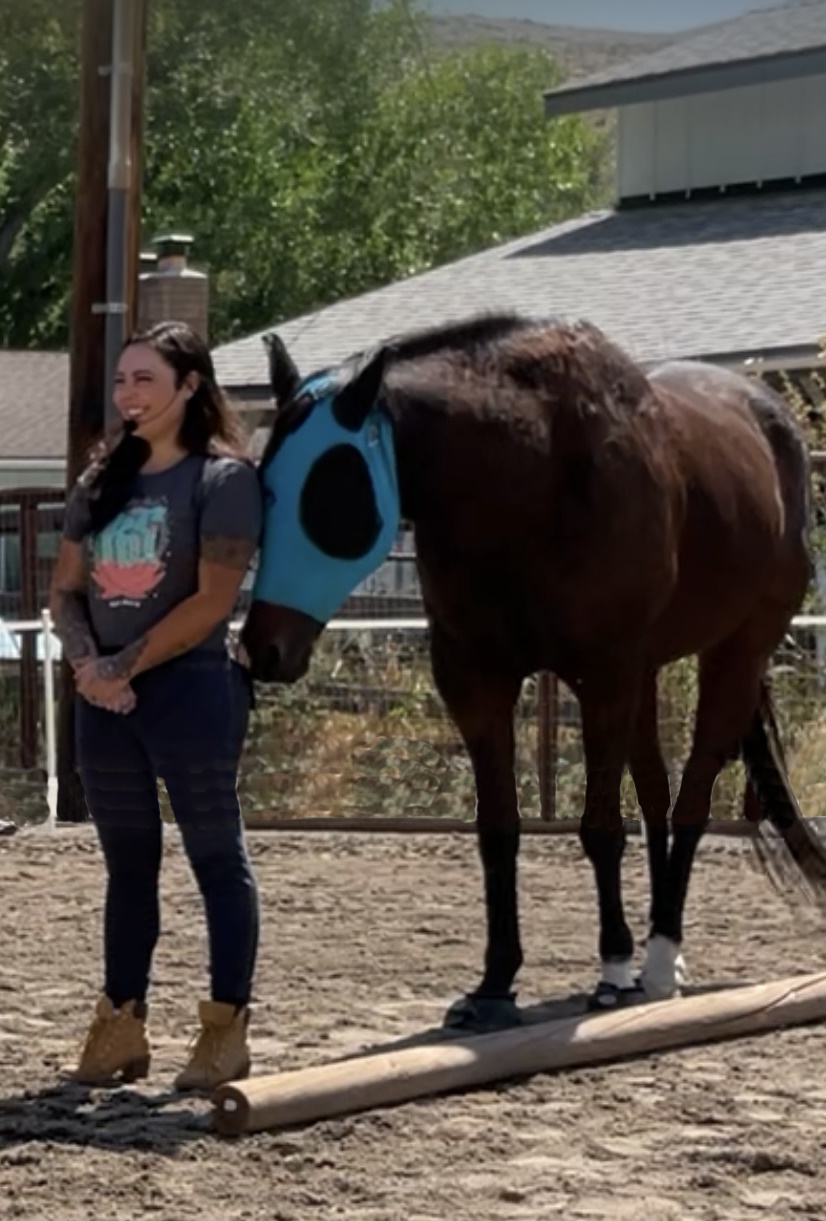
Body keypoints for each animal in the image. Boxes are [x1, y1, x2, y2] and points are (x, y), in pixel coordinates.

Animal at [239, 311, 826, 1032]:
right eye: (264, 485)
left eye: (330, 490)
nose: (265, 648)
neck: (533, 480)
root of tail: (773, 422)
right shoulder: (477, 682)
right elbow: (499, 832)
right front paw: (494, 985)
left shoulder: (602, 678)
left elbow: (600, 828)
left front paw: (612, 971)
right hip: (649, 673)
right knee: (657, 796)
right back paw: (665, 957)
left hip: (737, 651)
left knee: (692, 796)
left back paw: (659, 960)